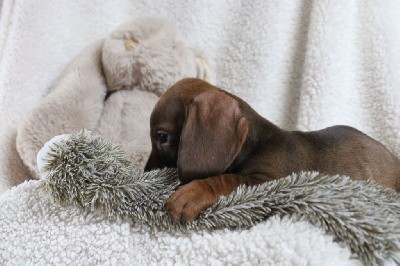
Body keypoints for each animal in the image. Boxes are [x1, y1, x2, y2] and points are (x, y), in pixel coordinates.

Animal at [145, 78, 400, 221]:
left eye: (161, 136)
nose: (145, 172)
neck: (257, 144)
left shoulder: (270, 182)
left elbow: (228, 179)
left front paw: (192, 194)